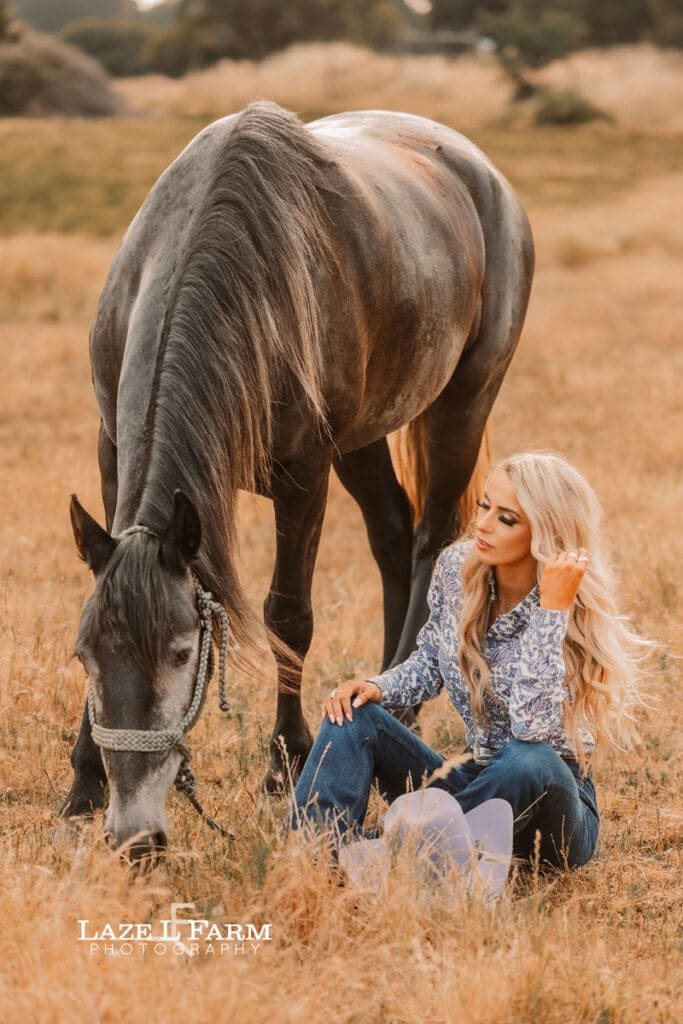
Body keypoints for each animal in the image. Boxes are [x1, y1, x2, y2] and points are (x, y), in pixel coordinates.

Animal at [60, 101, 534, 860]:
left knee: (433, 537)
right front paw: (82, 785)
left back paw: (401, 709)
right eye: (86, 655)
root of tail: (482, 173)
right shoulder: (111, 451)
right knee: (393, 535)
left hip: (462, 402)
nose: (136, 838)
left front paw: (286, 762)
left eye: (183, 653)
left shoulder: (303, 474)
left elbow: (288, 616)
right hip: (364, 439)